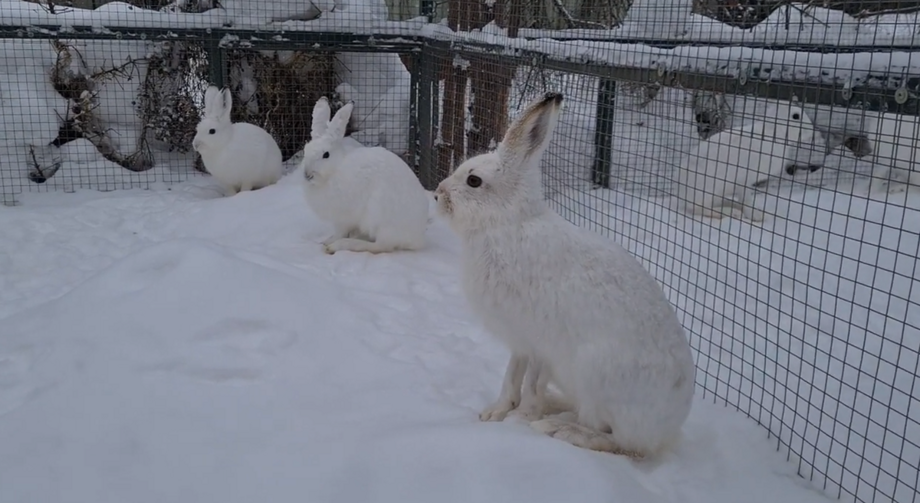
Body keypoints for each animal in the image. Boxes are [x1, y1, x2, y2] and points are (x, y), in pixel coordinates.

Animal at [300, 98, 429, 255]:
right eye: (306, 150)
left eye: (326, 155)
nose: (307, 175)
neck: (335, 170)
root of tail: (417, 238)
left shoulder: (343, 217)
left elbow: (339, 232)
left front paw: (328, 242)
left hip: (379, 216)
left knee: (381, 247)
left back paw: (342, 245)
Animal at [433, 92, 697, 459]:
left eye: (474, 180)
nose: (437, 194)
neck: (507, 224)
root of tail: (665, 432)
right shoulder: (520, 342)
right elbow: (510, 377)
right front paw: (494, 413)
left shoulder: (541, 344)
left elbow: (530, 384)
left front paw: (522, 418)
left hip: (595, 376)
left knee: (618, 441)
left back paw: (556, 428)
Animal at [676, 102, 827, 222]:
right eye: (796, 116)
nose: (814, 132)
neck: (775, 132)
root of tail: (682, 193)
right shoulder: (744, 180)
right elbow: (746, 199)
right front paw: (755, 216)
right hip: (708, 189)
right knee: (701, 208)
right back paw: (732, 212)